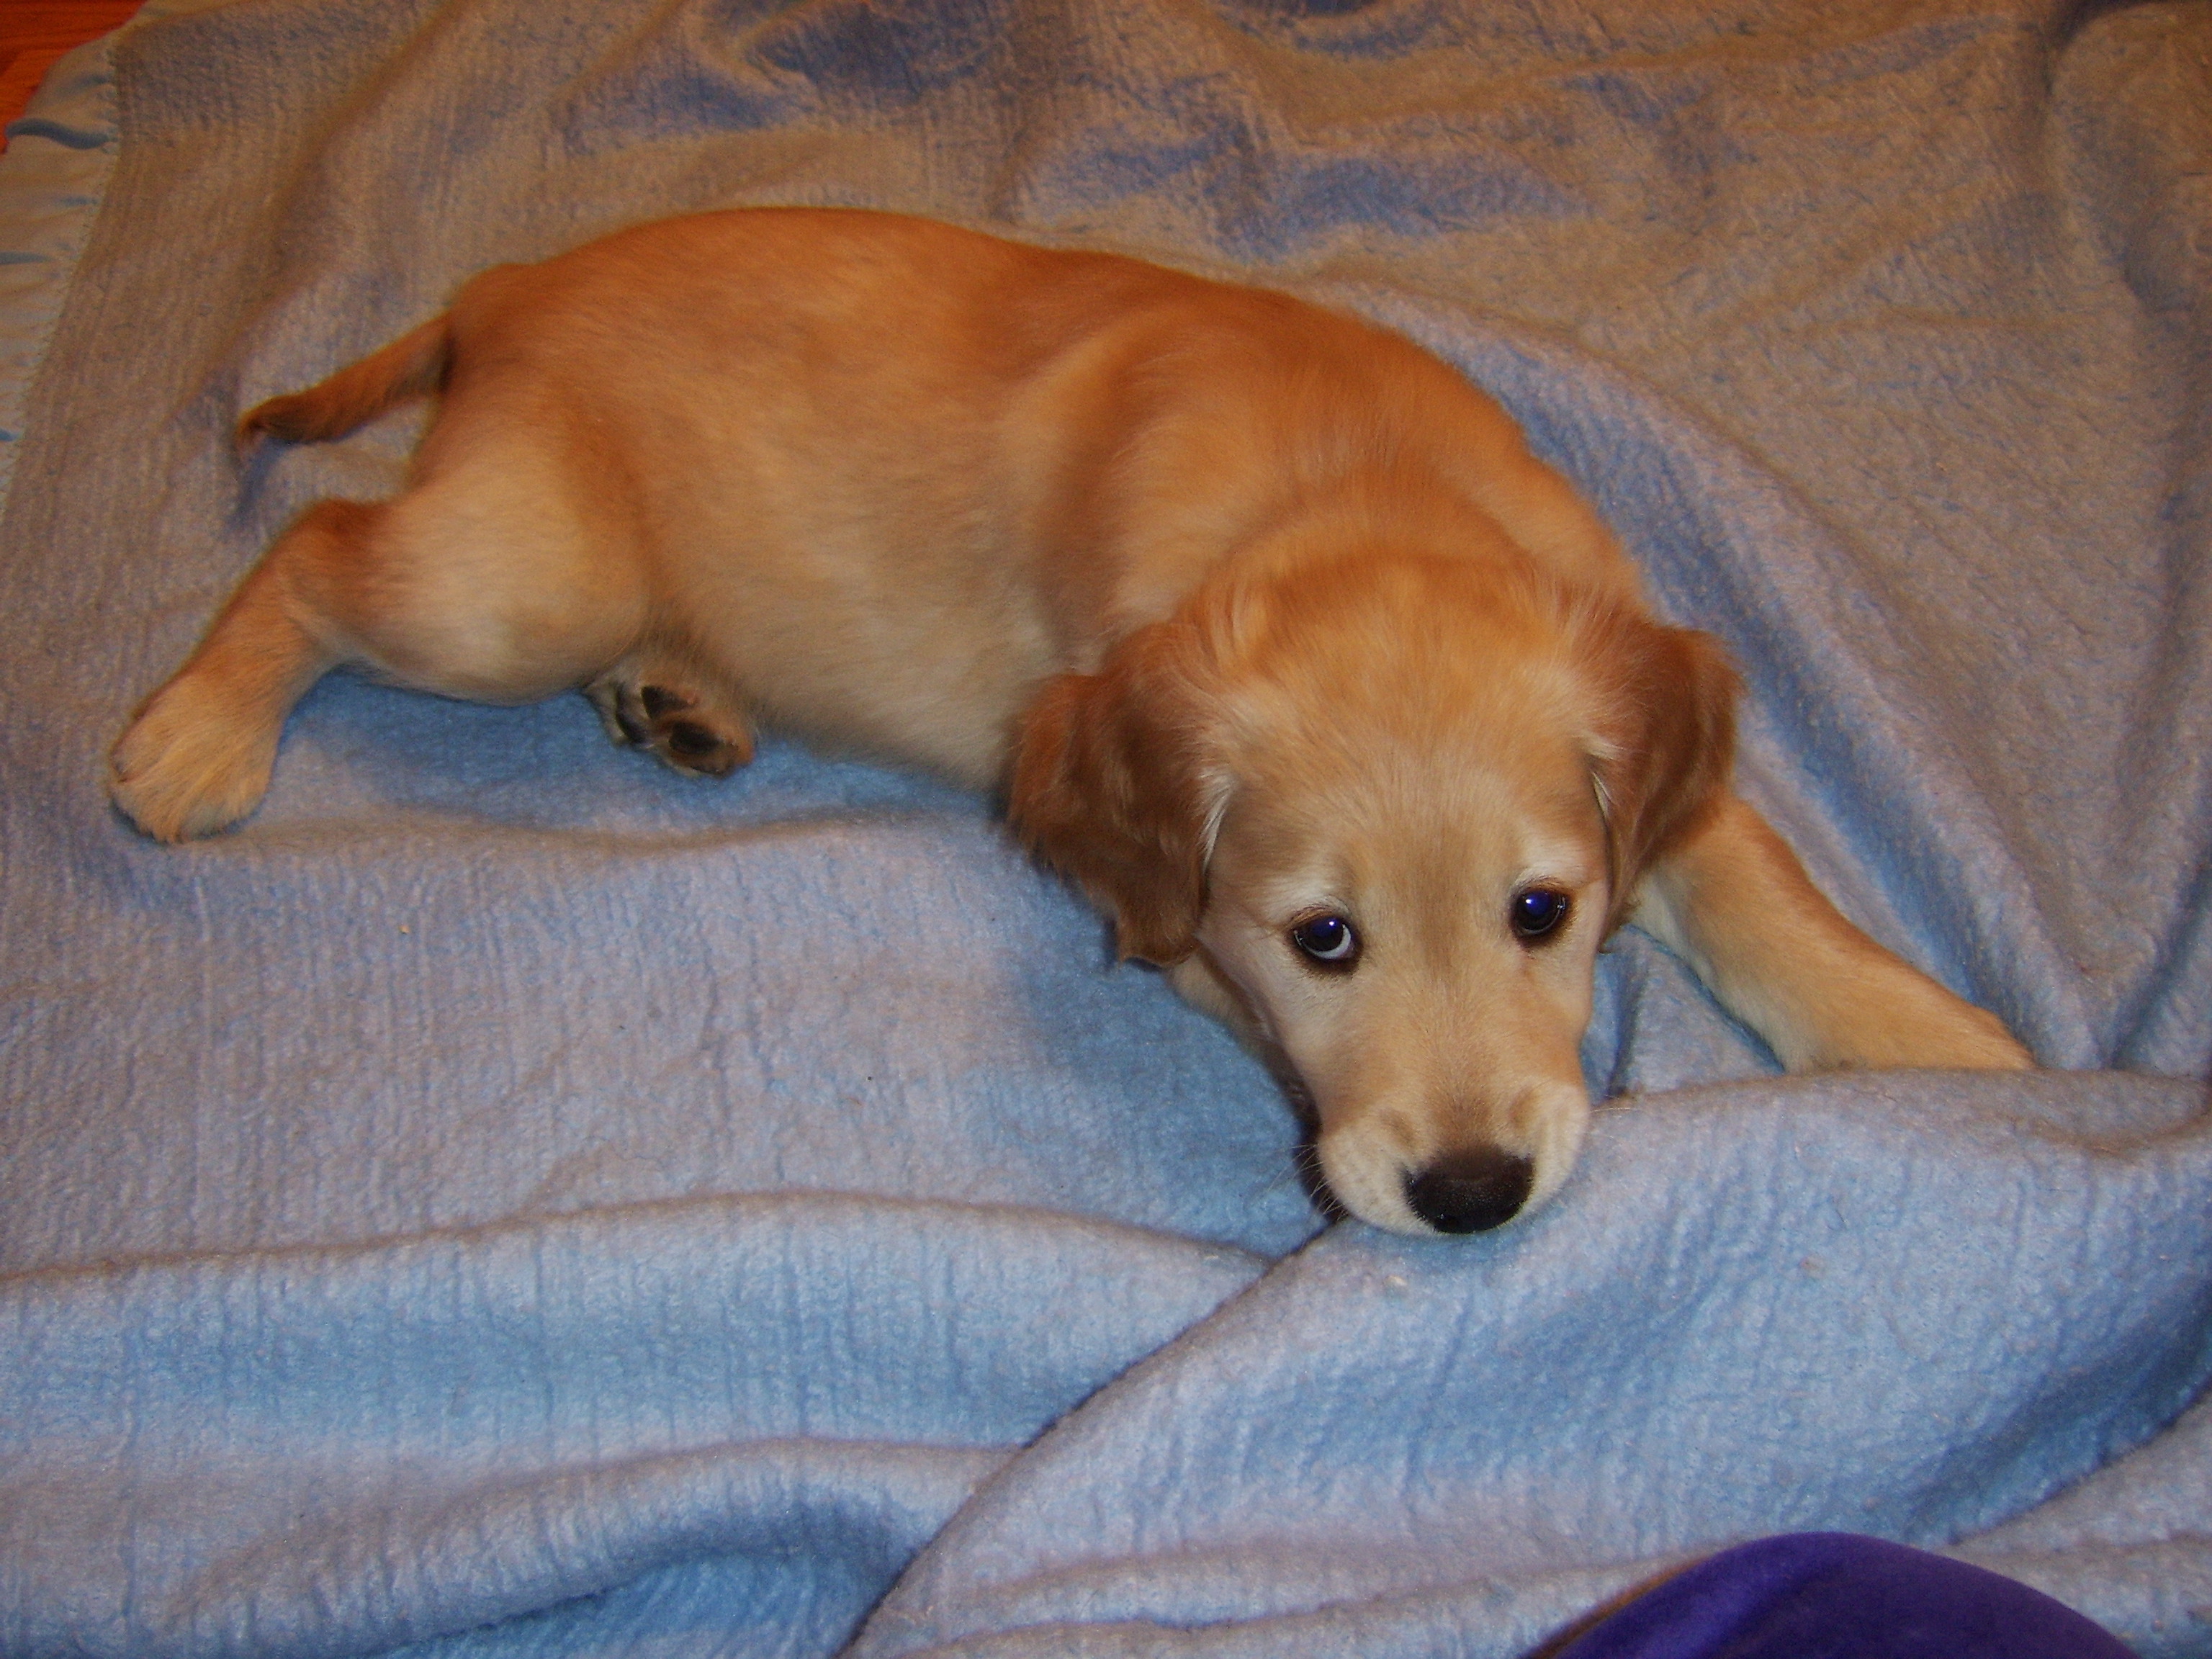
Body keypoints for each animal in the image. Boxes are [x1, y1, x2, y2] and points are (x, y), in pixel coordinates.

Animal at [107, 207, 2035, 1238]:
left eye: (1542, 913)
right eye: (1320, 939)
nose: (1476, 1195)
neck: (1345, 490)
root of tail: (496, 289)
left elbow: (1755, 881)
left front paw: (1941, 1051)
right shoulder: (1162, 907)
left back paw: (674, 699)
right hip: (518, 582)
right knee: (316, 546)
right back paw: (193, 734)